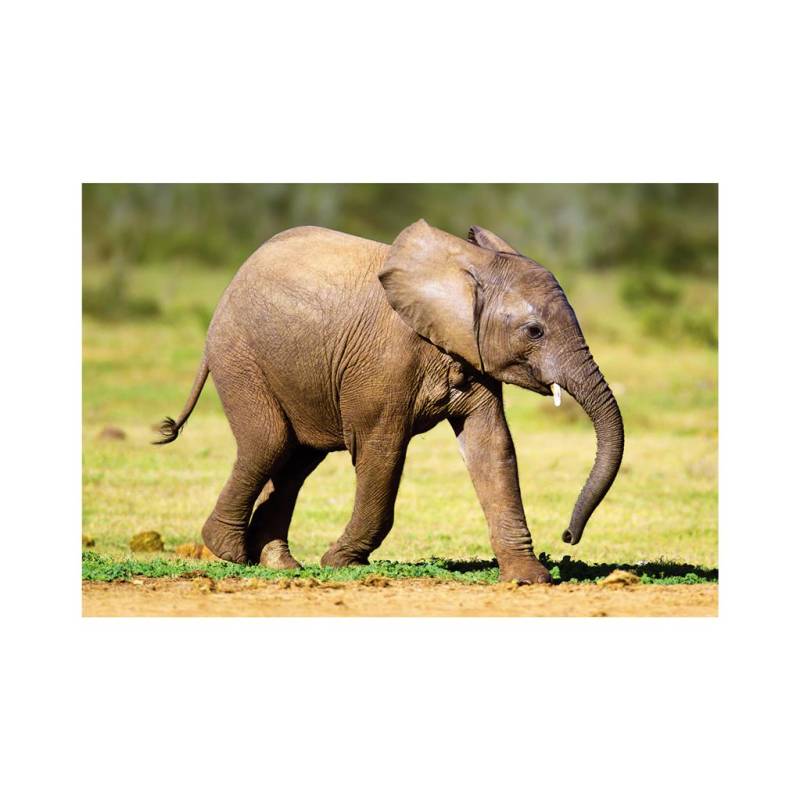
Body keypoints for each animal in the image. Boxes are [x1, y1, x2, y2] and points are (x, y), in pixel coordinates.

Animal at [155, 220, 624, 583]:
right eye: (534, 331)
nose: (568, 537)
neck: (464, 268)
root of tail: (232, 283)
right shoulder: (385, 363)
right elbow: (381, 450)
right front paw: (340, 562)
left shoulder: (468, 352)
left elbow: (492, 447)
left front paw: (528, 579)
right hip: (239, 354)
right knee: (268, 442)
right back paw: (230, 552)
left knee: (296, 459)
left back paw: (280, 565)